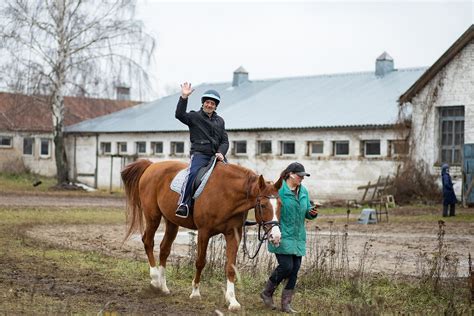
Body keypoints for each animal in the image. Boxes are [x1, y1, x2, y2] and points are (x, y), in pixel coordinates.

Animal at [120, 159, 282, 310]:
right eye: (263, 205)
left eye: (281, 205)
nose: (276, 236)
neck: (226, 193)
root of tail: (151, 165)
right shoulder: (204, 232)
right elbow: (200, 262)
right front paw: (195, 293)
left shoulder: (233, 234)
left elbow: (231, 267)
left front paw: (232, 301)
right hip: (152, 216)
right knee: (148, 241)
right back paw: (154, 280)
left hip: (172, 222)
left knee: (164, 249)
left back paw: (163, 286)